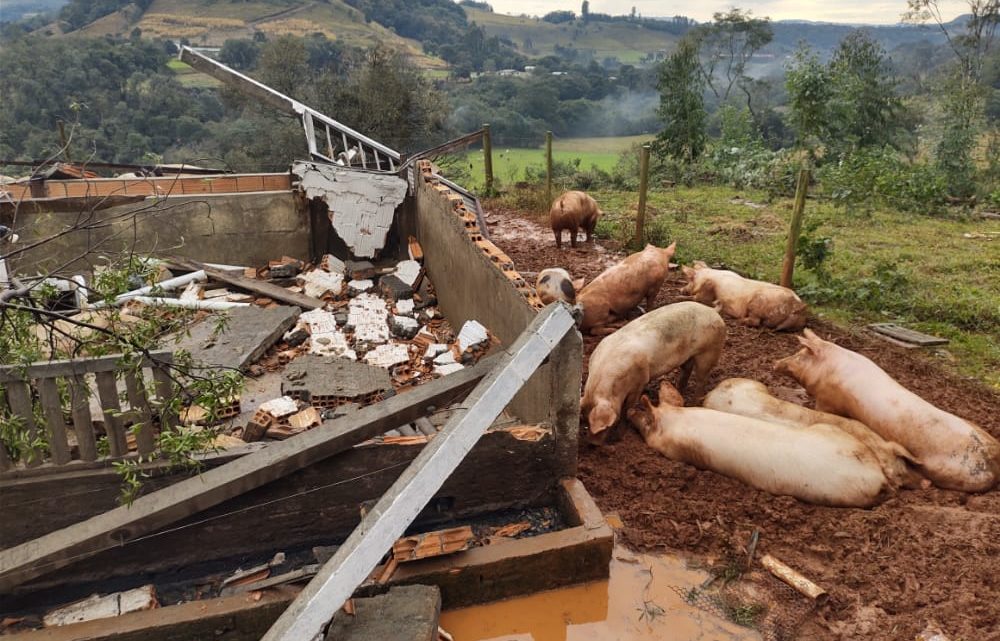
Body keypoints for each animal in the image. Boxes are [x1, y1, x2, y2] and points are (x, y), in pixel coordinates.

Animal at [580, 300, 728, 440]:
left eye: (608, 425)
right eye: (585, 421)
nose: (592, 444)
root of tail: (712, 310)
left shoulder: (639, 382)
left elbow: (628, 408)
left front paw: (619, 437)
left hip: (709, 352)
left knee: (701, 380)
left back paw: (693, 403)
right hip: (688, 357)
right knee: (686, 371)